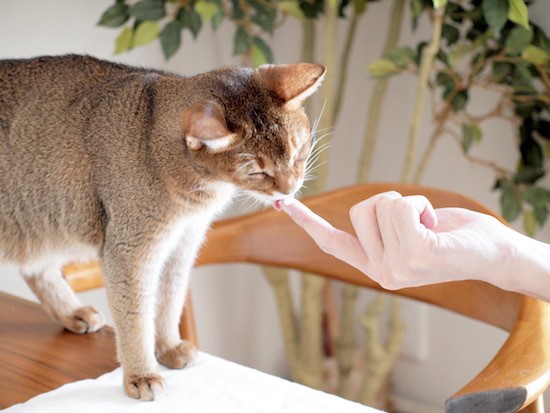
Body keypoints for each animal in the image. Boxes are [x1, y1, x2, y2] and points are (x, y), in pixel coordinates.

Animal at [0, 54, 326, 400]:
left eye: (298, 151)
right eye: (257, 173)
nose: (290, 189)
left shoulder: (182, 245)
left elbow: (170, 301)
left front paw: (168, 346)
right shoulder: (129, 254)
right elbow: (135, 318)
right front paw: (141, 373)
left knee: (36, 267)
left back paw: (71, 313)